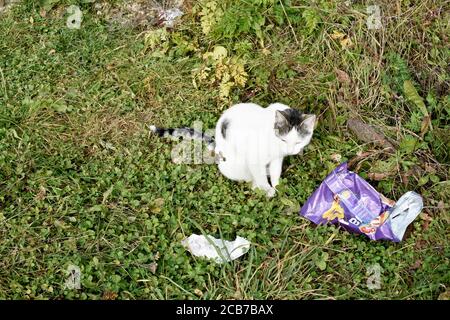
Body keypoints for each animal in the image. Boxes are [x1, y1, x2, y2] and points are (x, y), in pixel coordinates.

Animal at [149, 104, 314, 196]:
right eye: (284, 140)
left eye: (298, 142)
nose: (291, 150)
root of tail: (216, 147)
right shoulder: (254, 158)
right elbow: (260, 177)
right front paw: (268, 190)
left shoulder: (277, 158)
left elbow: (275, 172)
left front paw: (278, 187)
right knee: (250, 179)